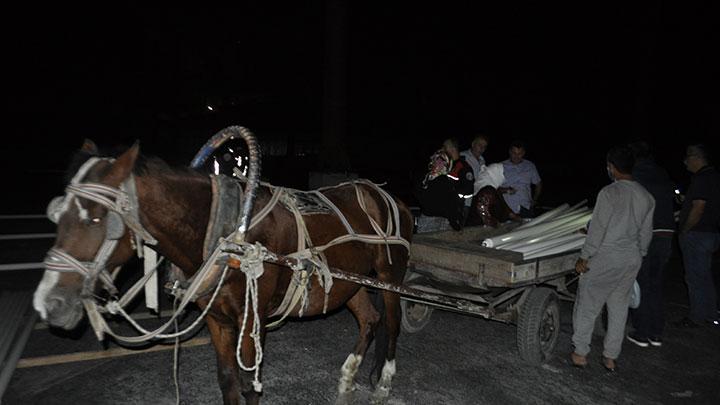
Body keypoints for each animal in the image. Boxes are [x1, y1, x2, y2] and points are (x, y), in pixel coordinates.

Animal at [33, 140, 414, 402]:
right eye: (57, 213)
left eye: (97, 218)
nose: (49, 303)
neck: (229, 233)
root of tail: (391, 197)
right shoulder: (217, 318)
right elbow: (228, 380)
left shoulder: (251, 318)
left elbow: (249, 385)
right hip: (350, 281)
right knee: (369, 319)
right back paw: (348, 376)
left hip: (390, 277)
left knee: (392, 322)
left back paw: (384, 383)